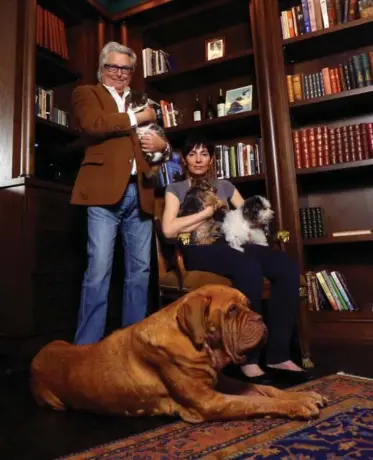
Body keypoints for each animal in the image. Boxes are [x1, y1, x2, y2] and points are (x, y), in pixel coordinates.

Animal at [29, 286, 326, 422]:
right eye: (231, 311)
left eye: (248, 304)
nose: (260, 318)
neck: (195, 342)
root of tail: (37, 356)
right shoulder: (211, 401)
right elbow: (256, 401)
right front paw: (297, 405)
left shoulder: (220, 382)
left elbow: (265, 390)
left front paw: (303, 394)